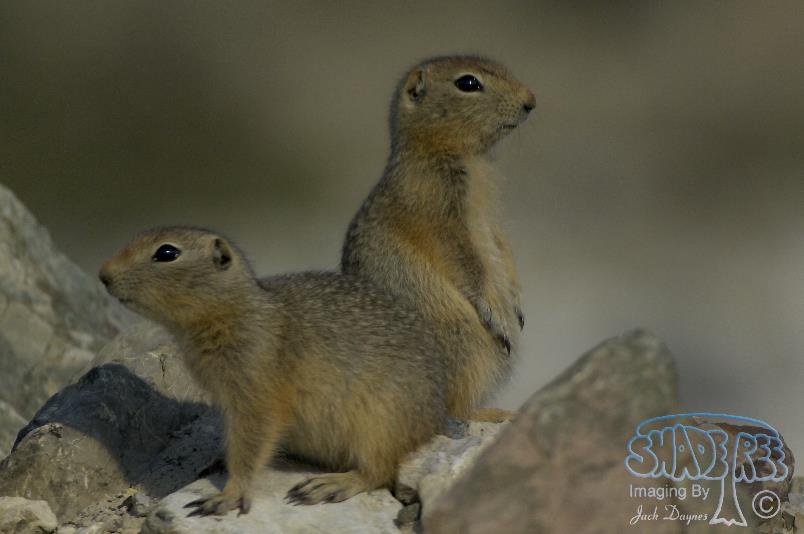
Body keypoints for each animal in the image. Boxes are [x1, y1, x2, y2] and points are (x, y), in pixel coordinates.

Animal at [99, 226, 446, 516]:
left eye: (167, 252)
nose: (103, 274)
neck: (234, 311)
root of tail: (433, 421)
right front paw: (218, 461)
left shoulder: (257, 394)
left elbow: (250, 446)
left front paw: (227, 496)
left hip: (378, 427)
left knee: (379, 472)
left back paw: (328, 485)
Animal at [341, 56, 535, 420]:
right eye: (468, 83)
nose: (531, 101)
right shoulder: (443, 217)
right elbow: (469, 262)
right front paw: (500, 315)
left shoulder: (492, 215)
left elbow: (502, 245)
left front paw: (517, 305)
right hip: (464, 339)